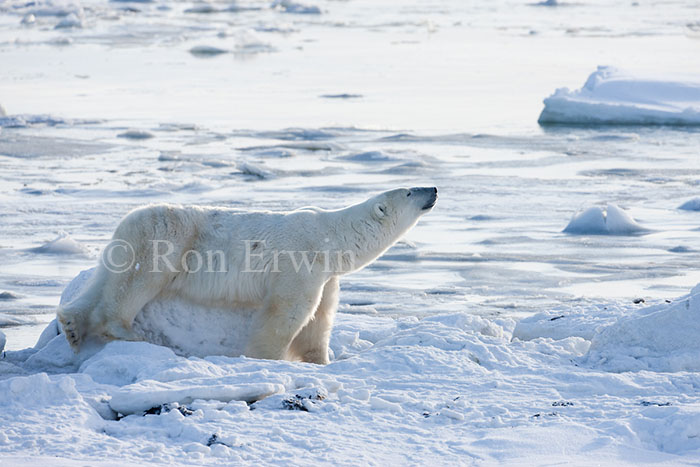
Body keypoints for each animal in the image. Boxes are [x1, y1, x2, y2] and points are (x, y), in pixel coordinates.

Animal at [58, 188, 438, 364]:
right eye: (409, 190)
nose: (433, 189)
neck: (332, 236)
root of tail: (129, 219)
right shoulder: (301, 262)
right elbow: (287, 313)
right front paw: (266, 358)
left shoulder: (327, 276)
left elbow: (320, 319)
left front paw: (321, 360)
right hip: (166, 239)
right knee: (139, 282)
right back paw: (128, 333)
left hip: (125, 245)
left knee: (104, 281)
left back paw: (72, 327)